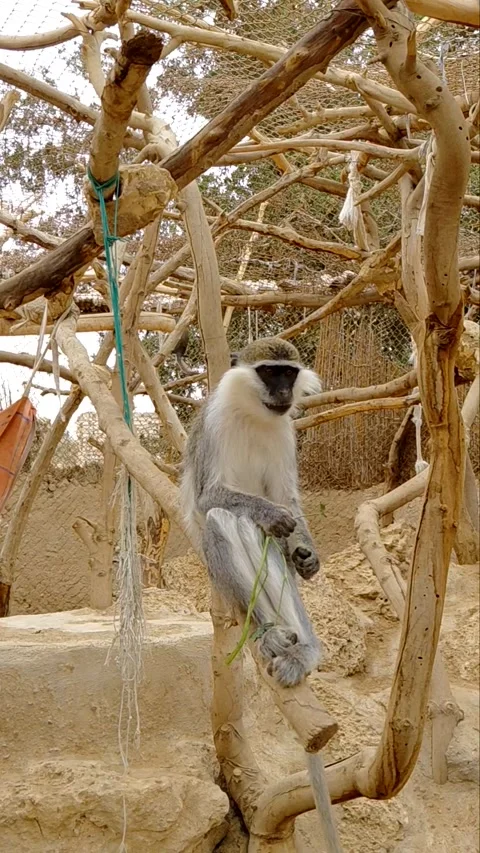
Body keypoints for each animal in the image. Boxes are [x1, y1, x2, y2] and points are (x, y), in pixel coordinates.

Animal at [180, 336, 343, 853]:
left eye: (288, 373)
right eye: (269, 372)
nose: (284, 392)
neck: (253, 412)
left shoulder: (285, 434)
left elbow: (290, 504)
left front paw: (308, 556)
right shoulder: (212, 426)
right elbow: (213, 499)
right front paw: (269, 514)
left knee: (274, 553)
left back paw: (304, 648)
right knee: (228, 519)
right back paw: (267, 631)